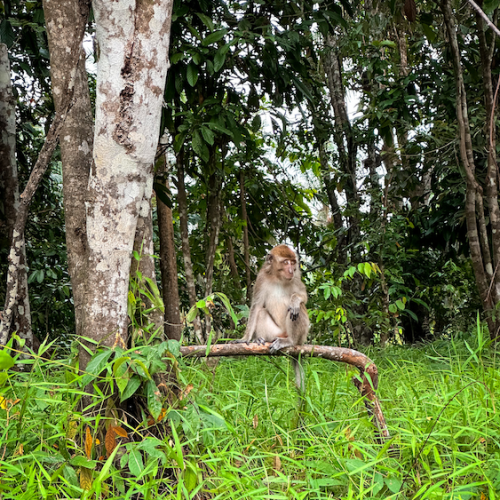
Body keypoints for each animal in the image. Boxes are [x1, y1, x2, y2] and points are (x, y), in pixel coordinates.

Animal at [233, 244, 308, 392]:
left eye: (293, 262)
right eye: (286, 262)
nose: (291, 270)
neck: (278, 277)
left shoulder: (296, 277)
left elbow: (303, 296)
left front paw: (295, 300)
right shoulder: (261, 278)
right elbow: (256, 307)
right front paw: (245, 338)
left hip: (301, 336)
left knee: (297, 310)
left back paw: (291, 340)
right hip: (276, 332)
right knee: (262, 312)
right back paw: (261, 339)